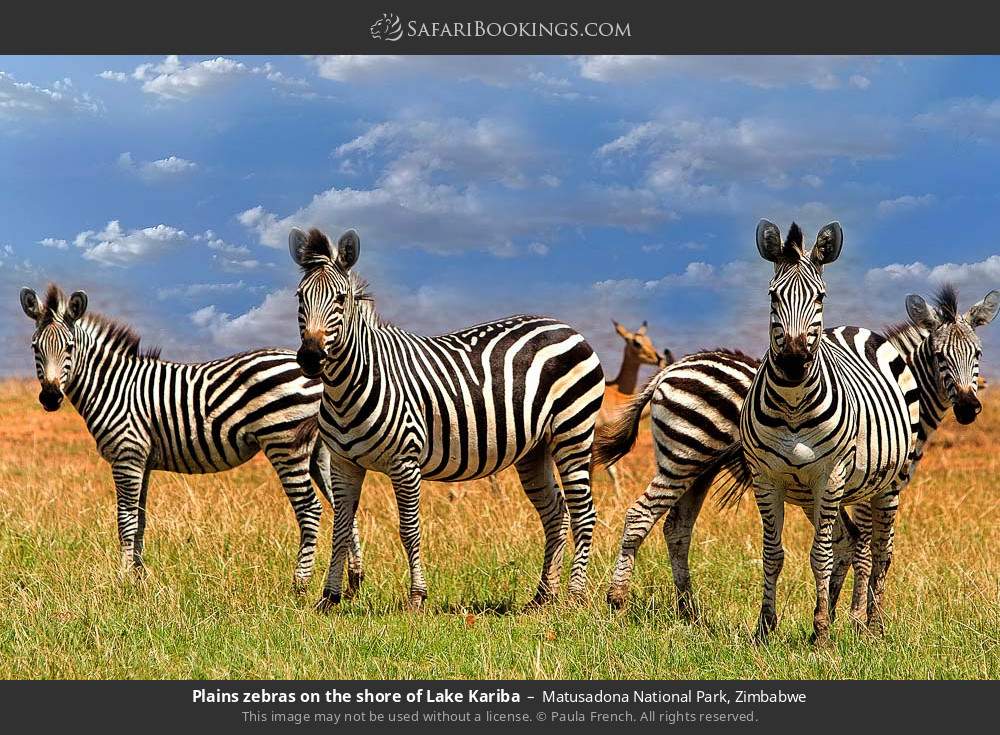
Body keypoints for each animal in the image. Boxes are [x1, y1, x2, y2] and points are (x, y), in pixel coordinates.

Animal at [19, 284, 364, 592]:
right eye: (35, 347)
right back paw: (353, 581)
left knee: (310, 509)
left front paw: (122, 580)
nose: (50, 398)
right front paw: (139, 579)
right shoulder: (142, 461)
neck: (113, 385)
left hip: (286, 443)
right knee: (343, 507)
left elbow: (125, 520)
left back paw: (299, 586)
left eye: (69, 348)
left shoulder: (127, 455)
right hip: (323, 450)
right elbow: (140, 519)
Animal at [288, 226, 606, 612]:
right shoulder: (344, 463)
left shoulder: (405, 462)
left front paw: (416, 597)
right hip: (535, 448)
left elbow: (409, 529)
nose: (310, 357)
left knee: (583, 512)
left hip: (573, 432)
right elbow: (342, 528)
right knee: (556, 513)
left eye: (340, 299)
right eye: (300, 298)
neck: (349, 385)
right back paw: (543, 596)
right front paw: (329, 598)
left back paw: (574, 596)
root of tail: (566, 327)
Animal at [597, 283, 998, 624]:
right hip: (684, 458)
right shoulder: (876, 485)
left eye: (978, 354)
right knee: (639, 515)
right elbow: (866, 549)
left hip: (698, 469)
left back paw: (690, 614)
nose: (969, 407)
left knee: (677, 529)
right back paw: (617, 602)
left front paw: (832, 614)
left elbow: (845, 545)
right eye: (939, 356)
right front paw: (859, 621)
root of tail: (671, 368)